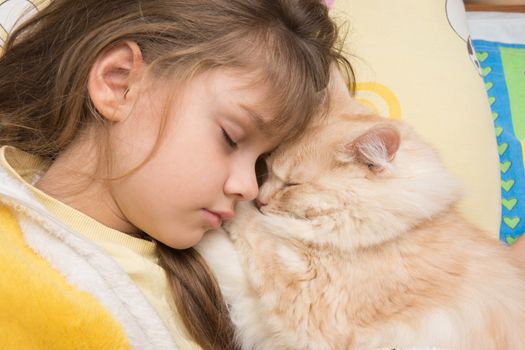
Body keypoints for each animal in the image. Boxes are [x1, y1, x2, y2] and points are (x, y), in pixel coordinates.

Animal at [195, 113, 524, 350]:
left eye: (292, 184)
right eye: (268, 169)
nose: (260, 199)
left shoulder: (308, 304)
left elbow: (252, 235)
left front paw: (228, 214)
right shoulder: (259, 310)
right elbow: (230, 263)